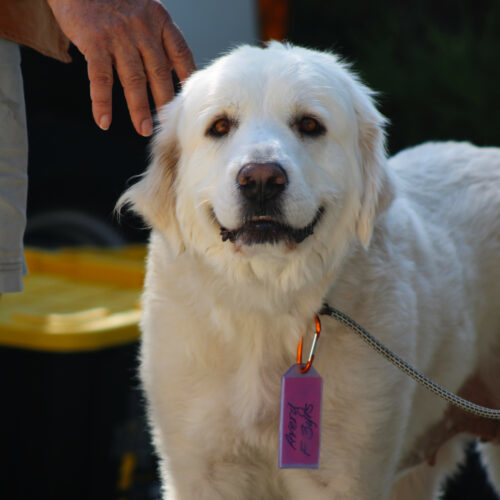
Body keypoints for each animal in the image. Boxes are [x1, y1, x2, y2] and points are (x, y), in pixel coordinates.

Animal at [118, 43, 500, 500]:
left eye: (309, 124)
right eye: (220, 126)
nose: (260, 179)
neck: (265, 306)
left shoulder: (344, 476)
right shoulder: (202, 471)